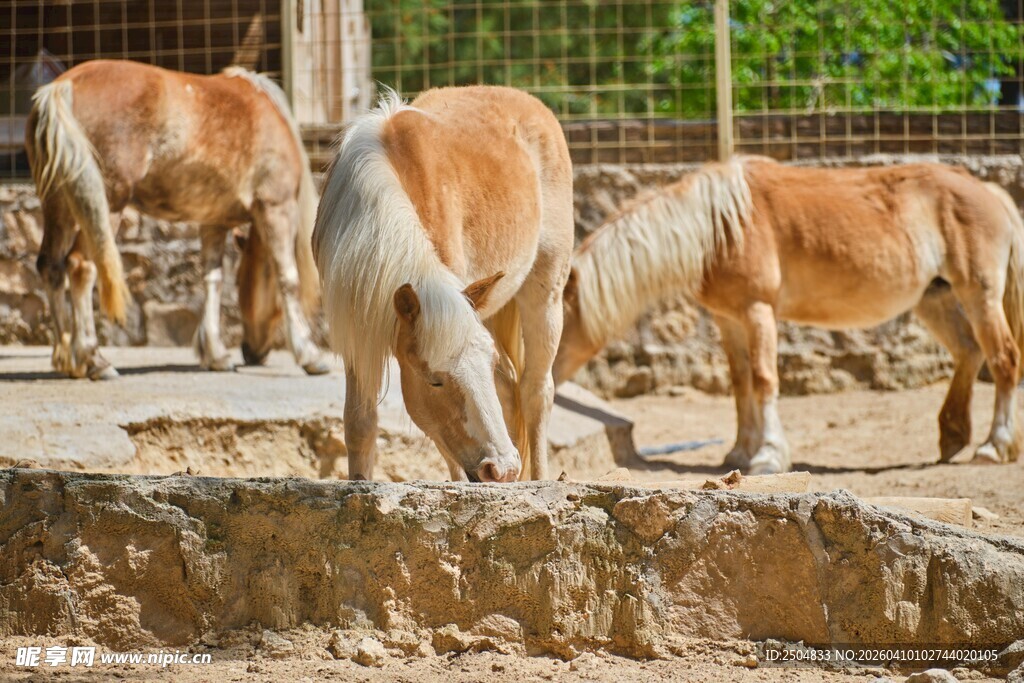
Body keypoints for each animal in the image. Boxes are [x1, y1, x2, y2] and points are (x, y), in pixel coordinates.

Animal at [25, 59, 328, 380]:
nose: (251, 352)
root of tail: (64, 86)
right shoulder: (276, 207)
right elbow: (289, 278)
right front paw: (309, 354)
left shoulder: (214, 221)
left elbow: (212, 279)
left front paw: (216, 354)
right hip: (104, 207)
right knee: (82, 267)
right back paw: (94, 359)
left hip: (60, 207)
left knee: (51, 267)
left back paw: (66, 357)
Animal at [313, 86, 574, 482]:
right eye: (434, 380)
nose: (502, 470)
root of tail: (532, 104)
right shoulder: (357, 326)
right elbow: (361, 425)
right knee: (510, 387)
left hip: (544, 295)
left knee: (535, 391)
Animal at [554, 156, 1024, 474]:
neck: (720, 227)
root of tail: (989, 191)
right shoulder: (729, 320)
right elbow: (741, 384)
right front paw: (739, 451)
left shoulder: (757, 311)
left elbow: (764, 380)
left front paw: (767, 454)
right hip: (934, 299)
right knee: (969, 352)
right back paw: (953, 436)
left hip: (978, 294)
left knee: (1003, 359)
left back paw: (994, 445)